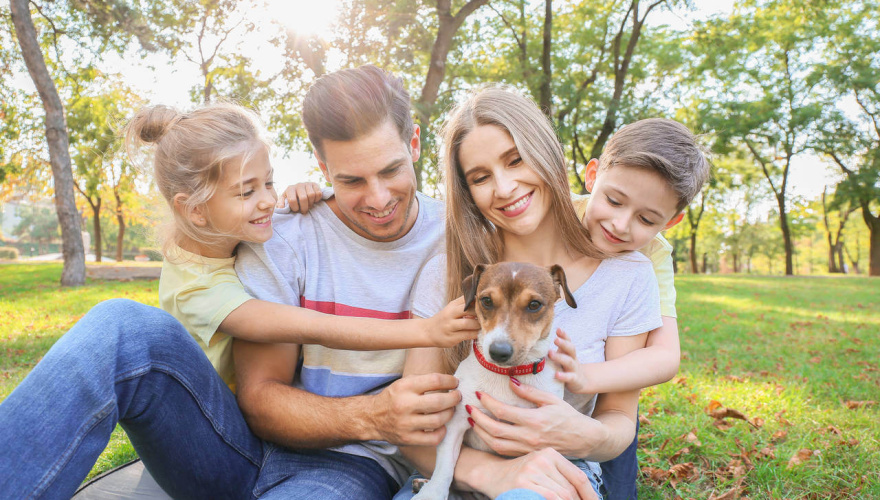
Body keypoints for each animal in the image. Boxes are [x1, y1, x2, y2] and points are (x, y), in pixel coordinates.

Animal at [412, 262, 576, 500]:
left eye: (534, 305)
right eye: (487, 301)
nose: (499, 351)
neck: (506, 374)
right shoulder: (456, 422)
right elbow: (445, 466)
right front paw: (432, 492)